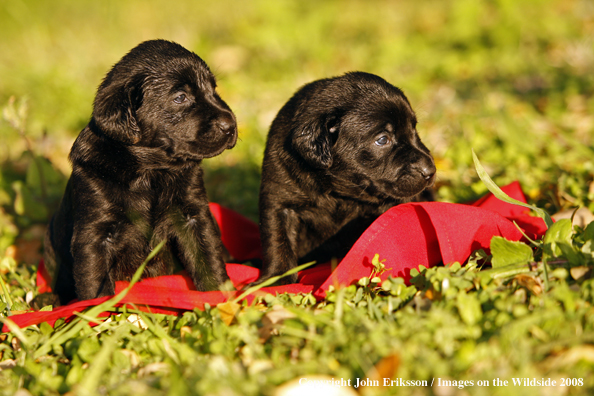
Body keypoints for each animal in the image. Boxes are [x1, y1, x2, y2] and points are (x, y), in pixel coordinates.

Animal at [45, 40, 237, 304]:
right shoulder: (94, 234)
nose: (231, 126)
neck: (150, 171)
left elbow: (207, 258)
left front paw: (220, 298)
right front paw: (99, 310)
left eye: (213, 89)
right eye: (180, 97)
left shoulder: (193, 217)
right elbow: (95, 282)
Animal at [256, 71, 432, 284]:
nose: (430, 170)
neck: (336, 192)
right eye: (382, 139)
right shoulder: (279, 202)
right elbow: (278, 242)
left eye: (414, 129)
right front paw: (277, 278)